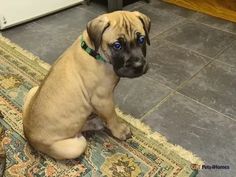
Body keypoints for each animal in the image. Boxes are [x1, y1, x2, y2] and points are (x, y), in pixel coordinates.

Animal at [22, 11, 151, 160]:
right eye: (117, 45)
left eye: (141, 39)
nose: (139, 66)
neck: (94, 51)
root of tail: (28, 135)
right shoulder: (103, 99)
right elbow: (112, 116)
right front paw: (120, 131)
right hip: (76, 146)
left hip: (33, 90)